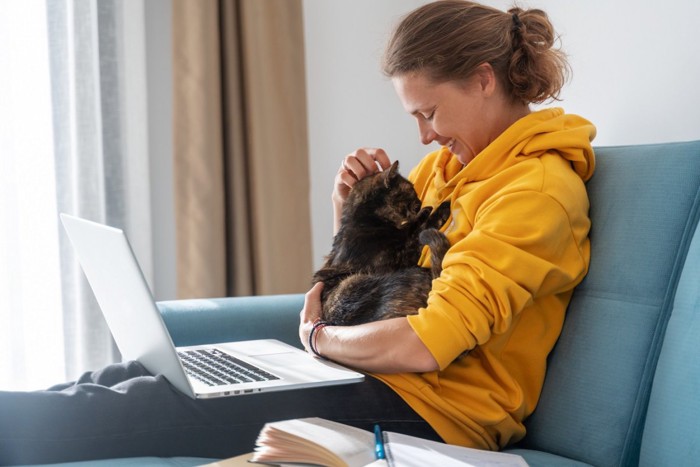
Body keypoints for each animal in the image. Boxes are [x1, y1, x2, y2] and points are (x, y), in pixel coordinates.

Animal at [314, 161, 454, 326]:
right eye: (411, 190)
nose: (420, 202)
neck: (363, 221)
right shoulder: (400, 257)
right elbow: (418, 231)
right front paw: (438, 209)